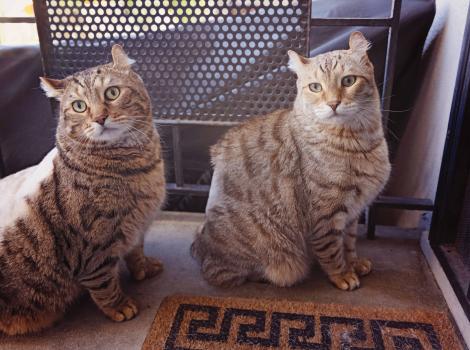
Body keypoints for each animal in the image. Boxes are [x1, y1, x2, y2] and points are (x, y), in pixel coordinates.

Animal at [0, 45, 165, 334]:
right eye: (79, 106)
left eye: (112, 92)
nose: (100, 118)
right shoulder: (93, 249)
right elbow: (103, 283)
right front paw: (119, 306)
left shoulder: (137, 227)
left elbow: (137, 251)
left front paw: (143, 267)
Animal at [189, 32, 392, 290]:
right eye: (315, 87)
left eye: (348, 81)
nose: (333, 103)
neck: (358, 141)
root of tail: (201, 247)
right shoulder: (326, 214)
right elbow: (332, 250)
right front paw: (342, 274)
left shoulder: (352, 213)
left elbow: (349, 243)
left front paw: (354, 263)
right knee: (222, 274)